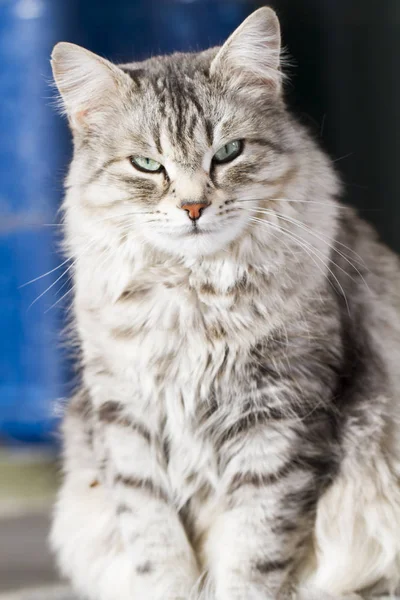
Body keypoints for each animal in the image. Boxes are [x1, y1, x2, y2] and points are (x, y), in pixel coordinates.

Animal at [49, 5, 400, 600]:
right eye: (147, 164)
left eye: (229, 153)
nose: (193, 207)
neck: (192, 298)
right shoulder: (127, 419)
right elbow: (156, 545)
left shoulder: (279, 417)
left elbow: (252, 553)